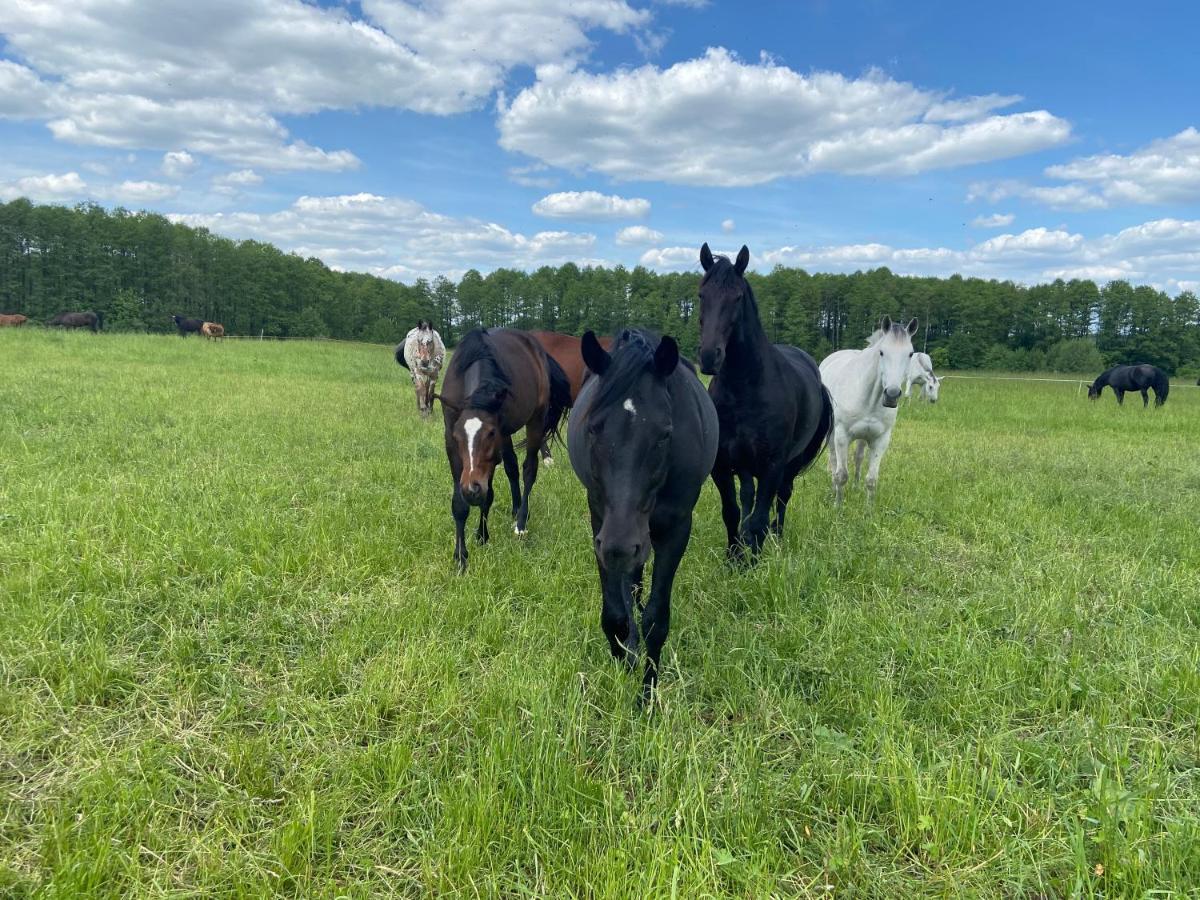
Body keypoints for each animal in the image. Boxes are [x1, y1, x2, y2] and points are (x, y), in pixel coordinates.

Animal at [436, 328, 571, 571]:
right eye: (458, 436)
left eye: (490, 433)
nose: (471, 488)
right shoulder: (452, 443)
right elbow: (460, 504)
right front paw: (461, 556)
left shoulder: (492, 452)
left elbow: (488, 494)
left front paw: (482, 536)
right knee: (512, 467)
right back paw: (516, 508)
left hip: (536, 421)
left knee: (528, 469)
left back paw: (521, 521)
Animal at [568, 328, 715, 696]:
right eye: (593, 428)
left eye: (665, 434)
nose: (621, 545)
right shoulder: (601, 525)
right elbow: (616, 615)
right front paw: (624, 664)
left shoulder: (675, 530)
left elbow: (656, 620)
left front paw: (647, 694)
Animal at [700, 243, 830, 561]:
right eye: (701, 295)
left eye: (737, 297)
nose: (709, 356)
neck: (745, 390)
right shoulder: (722, 466)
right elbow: (732, 512)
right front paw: (734, 557)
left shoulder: (773, 465)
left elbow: (760, 517)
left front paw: (753, 561)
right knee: (749, 497)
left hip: (791, 464)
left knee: (782, 496)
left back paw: (777, 536)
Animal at [816, 321, 916, 508]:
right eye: (882, 352)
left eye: (910, 353)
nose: (891, 395)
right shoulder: (842, 436)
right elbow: (841, 475)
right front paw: (837, 507)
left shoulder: (880, 440)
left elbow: (871, 479)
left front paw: (868, 510)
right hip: (832, 434)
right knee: (833, 460)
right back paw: (833, 488)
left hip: (863, 437)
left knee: (858, 458)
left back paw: (855, 487)